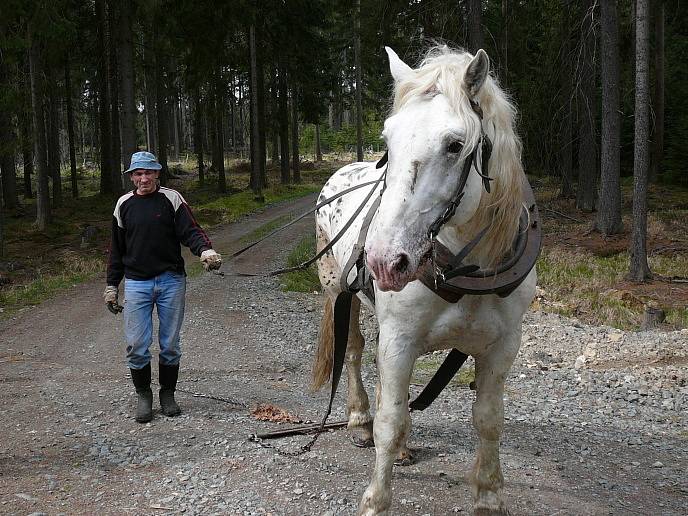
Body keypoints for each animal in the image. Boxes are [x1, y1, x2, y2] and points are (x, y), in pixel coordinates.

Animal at [312, 46, 532, 512]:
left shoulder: (502, 346)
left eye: (455, 144)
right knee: (354, 351)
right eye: (388, 141)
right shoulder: (400, 339)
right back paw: (360, 418)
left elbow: (489, 420)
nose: (382, 260)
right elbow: (390, 421)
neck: (468, 266)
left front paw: (489, 495)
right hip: (339, 291)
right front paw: (375, 500)